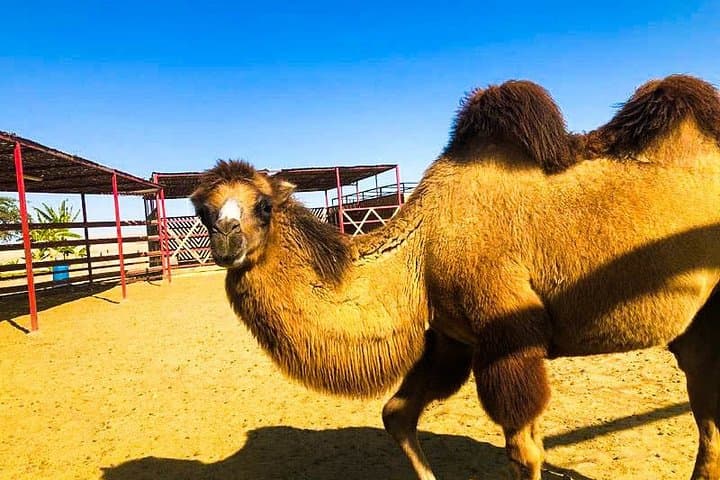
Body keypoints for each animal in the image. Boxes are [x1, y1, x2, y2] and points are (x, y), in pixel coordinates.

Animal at [190, 74, 720, 480]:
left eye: (262, 205)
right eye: (202, 210)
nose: (225, 239)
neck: (422, 248)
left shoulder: (507, 333)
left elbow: (524, 453)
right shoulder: (452, 338)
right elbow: (396, 413)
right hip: (698, 324)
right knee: (707, 411)